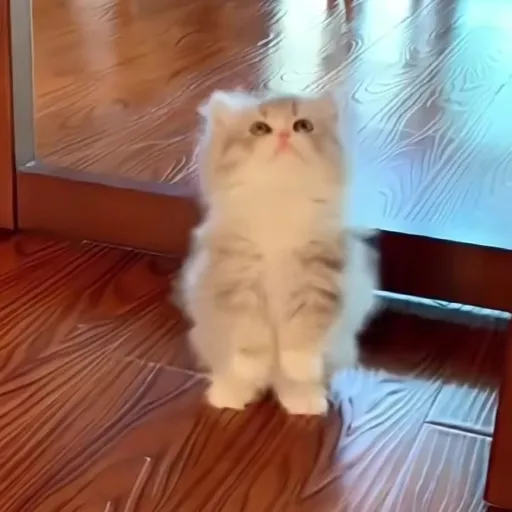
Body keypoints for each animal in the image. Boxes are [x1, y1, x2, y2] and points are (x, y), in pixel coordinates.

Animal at [176, 89, 378, 415]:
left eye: (303, 126)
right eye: (260, 128)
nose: (284, 135)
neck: (279, 202)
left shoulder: (322, 279)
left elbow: (302, 336)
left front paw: (299, 366)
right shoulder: (236, 278)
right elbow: (251, 337)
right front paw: (250, 366)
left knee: (290, 382)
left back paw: (304, 400)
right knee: (237, 374)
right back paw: (230, 393)